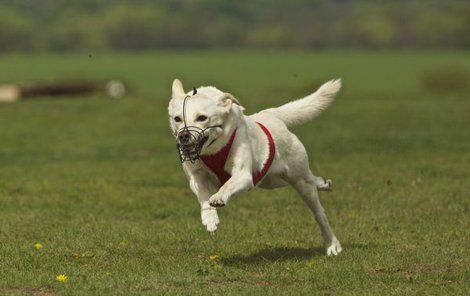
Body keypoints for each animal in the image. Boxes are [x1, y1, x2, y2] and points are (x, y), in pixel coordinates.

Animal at [168, 78, 342, 254]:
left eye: (202, 117)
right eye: (177, 119)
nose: (183, 135)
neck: (212, 150)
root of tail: (271, 114)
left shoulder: (244, 175)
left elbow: (226, 185)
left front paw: (218, 197)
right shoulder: (196, 177)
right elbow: (203, 196)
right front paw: (210, 219)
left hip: (299, 181)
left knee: (319, 212)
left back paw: (332, 245)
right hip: (271, 181)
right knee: (312, 179)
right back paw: (323, 183)